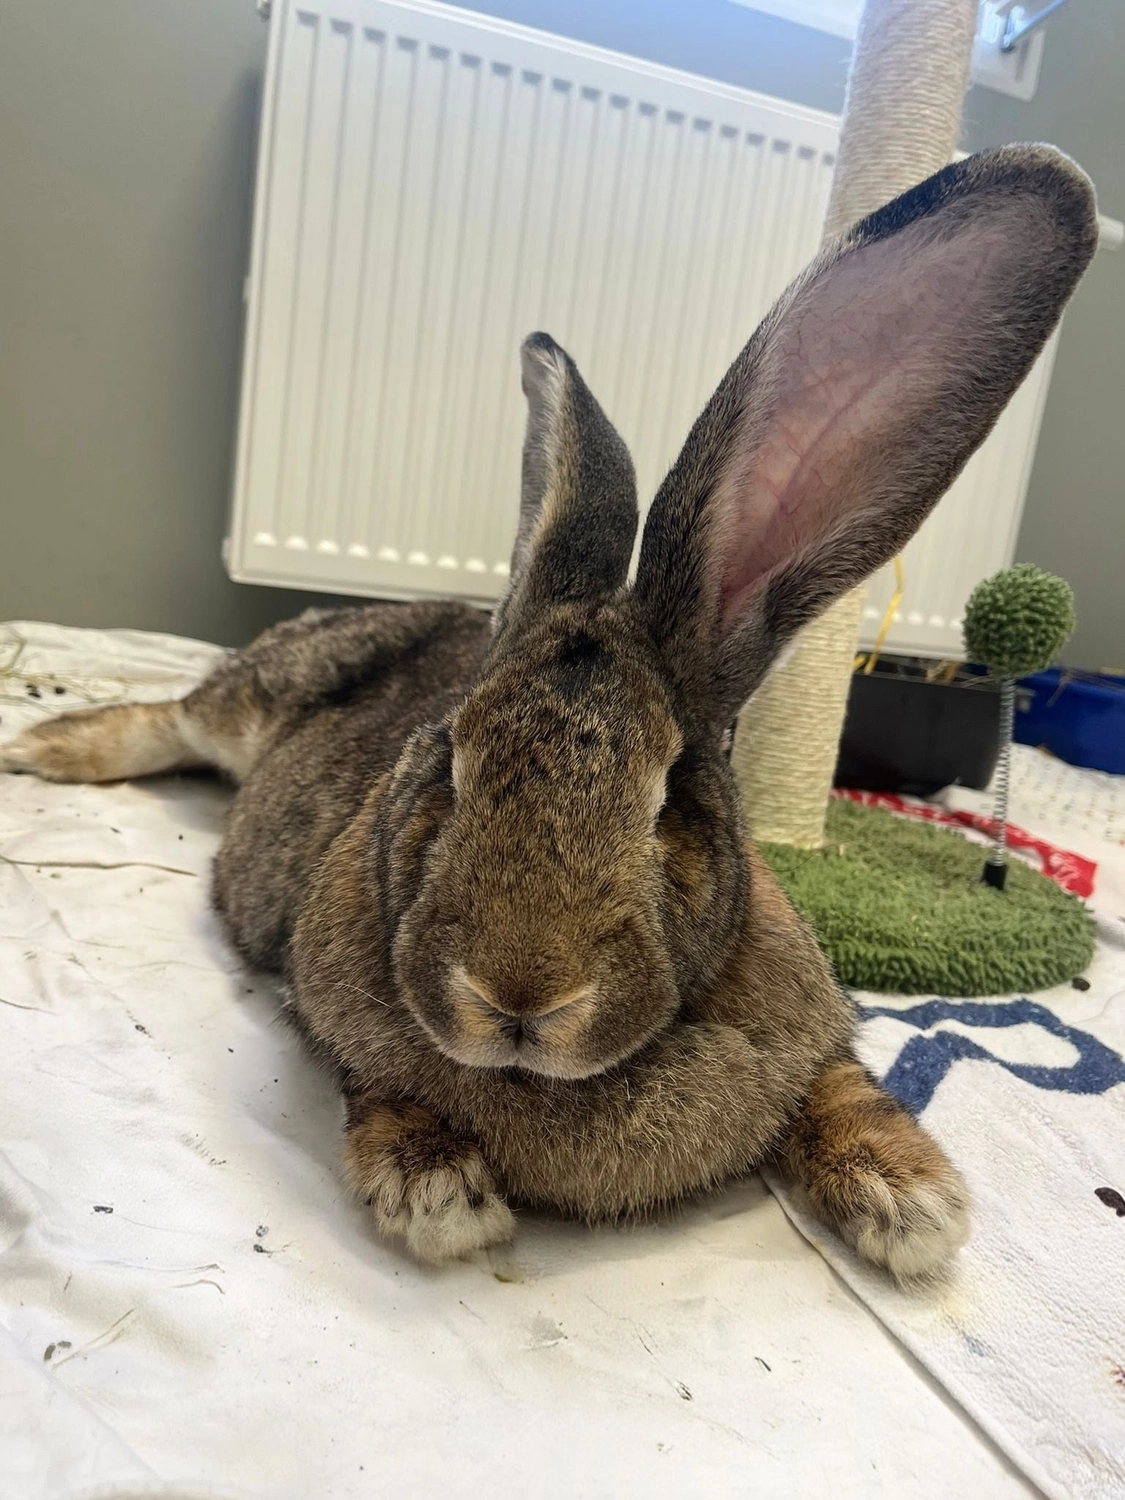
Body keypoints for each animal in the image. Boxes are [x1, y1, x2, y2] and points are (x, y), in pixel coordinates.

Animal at [3, 146, 1097, 1280]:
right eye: (448, 764)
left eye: (670, 798)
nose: (520, 994)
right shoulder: (331, 1013)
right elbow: (378, 1087)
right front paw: (438, 1192)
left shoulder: (816, 1036)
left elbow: (842, 1083)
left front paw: (911, 1198)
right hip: (254, 699)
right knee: (177, 715)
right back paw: (44, 745)